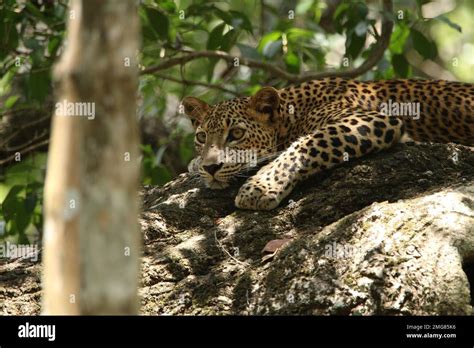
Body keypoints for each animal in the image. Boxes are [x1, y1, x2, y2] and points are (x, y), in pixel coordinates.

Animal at [181, 77, 474, 211]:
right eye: (202, 137)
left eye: (236, 133)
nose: (212, 168)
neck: (292, 113)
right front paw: (196, 163)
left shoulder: (371, 119)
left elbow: (308, 143)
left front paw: (260, 187)